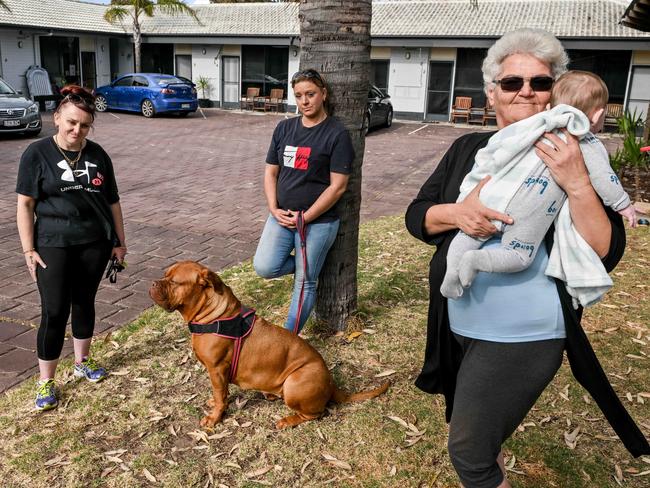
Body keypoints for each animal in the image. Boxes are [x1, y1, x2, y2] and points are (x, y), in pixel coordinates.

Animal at [149, 262, 388, 428]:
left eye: (174, 282)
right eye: (165, 275)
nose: (153, 283)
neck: (212, 314)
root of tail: (331, 384)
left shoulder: (216, 370)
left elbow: (220, 396)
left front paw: (215, 417)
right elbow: (220, 394)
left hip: (294, 383)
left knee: (314, 414)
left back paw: (287, 420)